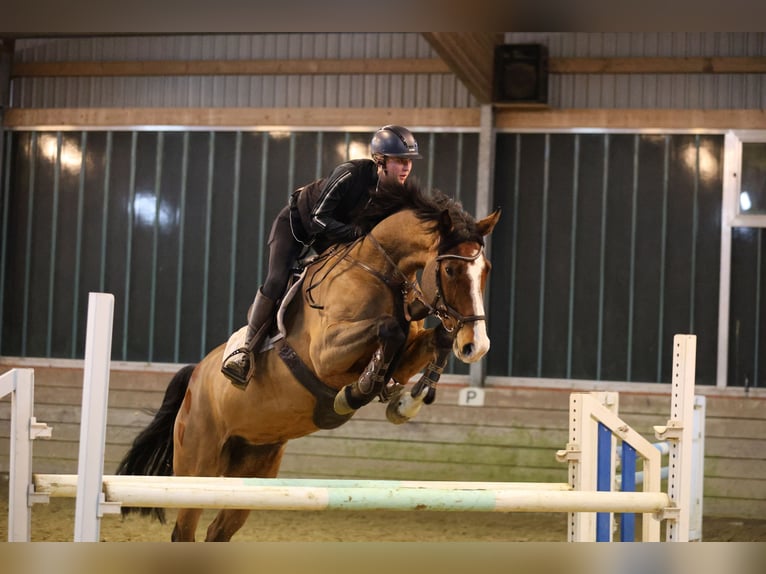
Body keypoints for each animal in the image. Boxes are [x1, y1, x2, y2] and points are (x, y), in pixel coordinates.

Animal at [112, 182, 498, 544]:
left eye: (486, 270)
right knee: (184, 531)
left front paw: (406, 403)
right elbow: (389, 329)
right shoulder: (326, 356)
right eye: (451, 269)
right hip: (199, 469)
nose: (476, 347)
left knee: (218, 532)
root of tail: (194, 378)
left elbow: (435, 339)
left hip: (254, 471)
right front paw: (357, 392)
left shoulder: (404, 358)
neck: (379, 271)